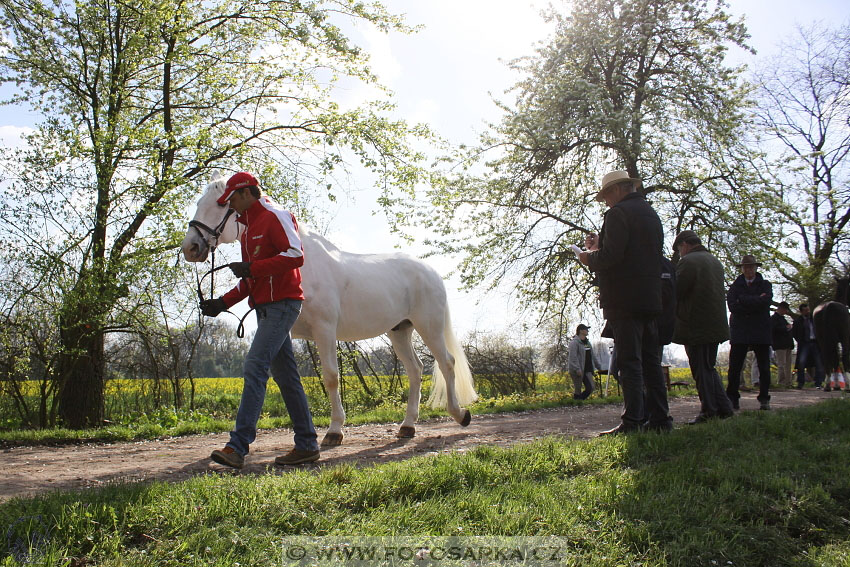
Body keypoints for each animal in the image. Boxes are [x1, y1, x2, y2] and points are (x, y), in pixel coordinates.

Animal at [180, 171, 474, 446]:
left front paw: (334, 431)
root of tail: (430, 271)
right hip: (399, 331)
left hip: (429, 327)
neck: (303, 266)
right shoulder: (284, 333)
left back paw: (460, 414)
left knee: (446, 363)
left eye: (220, 204)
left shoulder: (325, 331)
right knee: (415, 370)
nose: (190, 247)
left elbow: (331, 377)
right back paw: (408, 426)